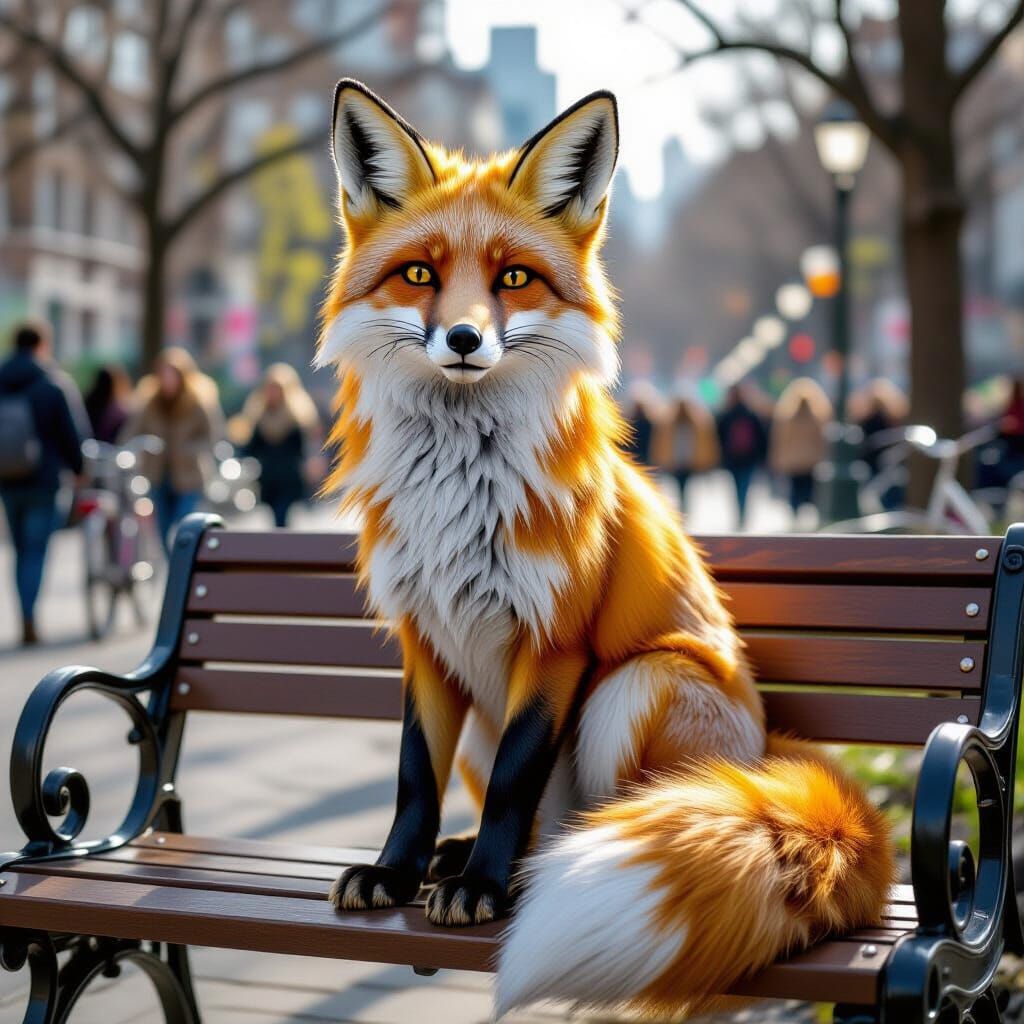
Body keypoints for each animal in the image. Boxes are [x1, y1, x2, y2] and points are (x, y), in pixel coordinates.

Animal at [316, 79, 894, 1019]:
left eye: (514, 278)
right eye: (421, 274)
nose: (464, 340)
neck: (457, 492)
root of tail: (767, 756)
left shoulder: (555, 640)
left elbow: (516, 777)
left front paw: (482, 890)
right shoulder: (425, 638)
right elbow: (412, 776)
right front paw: (397, 871)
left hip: (636, 686)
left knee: (593, 824)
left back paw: (529, 873)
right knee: (534, 818)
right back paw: (462, 857)